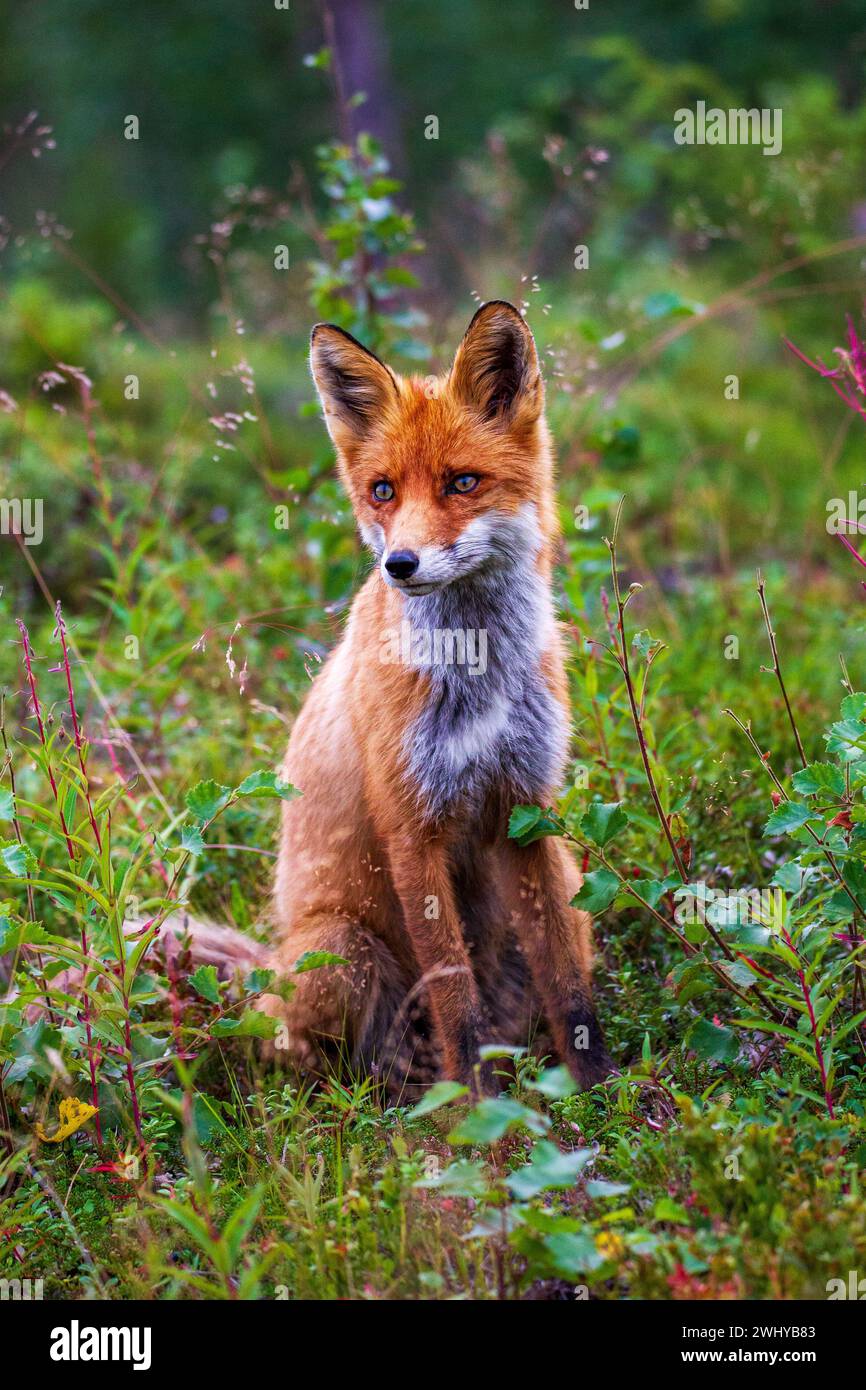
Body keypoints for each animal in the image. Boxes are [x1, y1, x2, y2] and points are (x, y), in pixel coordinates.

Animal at [174, 304, 608, 1095]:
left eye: (462, 482)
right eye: (383, 491)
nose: (398, 565)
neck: (478, 678)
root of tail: (267, 964)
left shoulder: (527, 811)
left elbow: (568, 987)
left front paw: (604, 1092)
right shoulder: (412, 827)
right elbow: (455, 1002)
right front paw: (478, 1113)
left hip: (568, 876)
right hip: (341, 948)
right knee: (302, 1055)